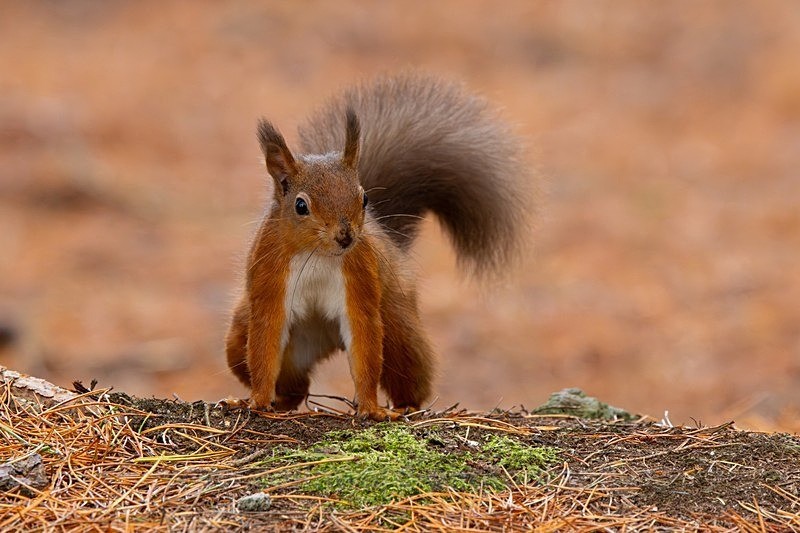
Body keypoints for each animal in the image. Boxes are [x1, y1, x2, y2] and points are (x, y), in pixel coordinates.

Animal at [225, 72, 529, 421]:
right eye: (301, 206)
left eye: (365, 198)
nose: (346, 236)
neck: (318, 255)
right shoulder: (269, 277)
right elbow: (265, 340)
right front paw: (258, 400)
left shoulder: (360, 277)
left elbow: (364, 341)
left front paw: (370, 407)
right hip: (240, 337)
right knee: (293, 385)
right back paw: (278, 402)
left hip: (398, 332)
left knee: (406, 372)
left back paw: (406, 405)